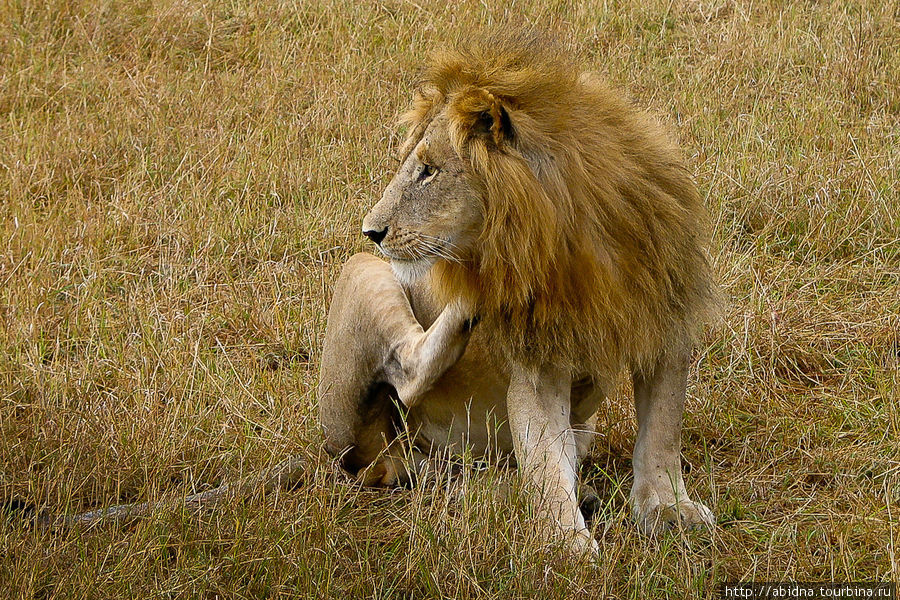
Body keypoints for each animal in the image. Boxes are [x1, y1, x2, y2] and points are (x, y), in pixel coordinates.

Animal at [316, 32, 716, 552]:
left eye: (428, 170)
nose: (371, 231)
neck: (570, 239)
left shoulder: (666, 322)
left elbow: (662, 431)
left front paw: (667, 509)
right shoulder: (539, 363)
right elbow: (545, 460)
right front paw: (567, 548)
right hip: (362, 277)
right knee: (406, 382)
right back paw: (472, 296)